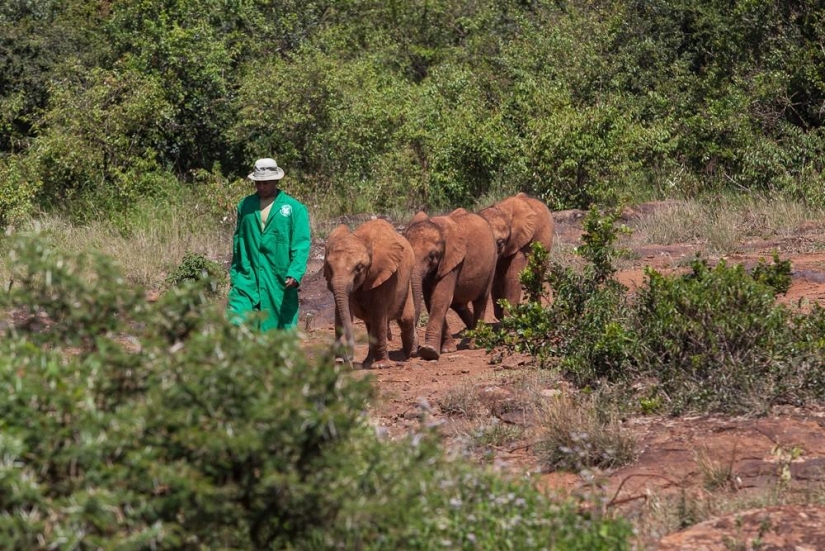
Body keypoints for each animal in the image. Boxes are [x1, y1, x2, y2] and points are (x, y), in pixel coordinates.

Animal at [324, 218, 419, 369]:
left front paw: (382, 365)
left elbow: (379, 313)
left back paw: (411, 355)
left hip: (407, 279)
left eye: (359, 268)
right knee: (369, 323)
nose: (348, 358)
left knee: (405, 319)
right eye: (329, 267)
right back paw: (367, 362)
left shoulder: (384, 275)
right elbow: (342, 311)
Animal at [404, 208, 497, 361]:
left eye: (432, 256)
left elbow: (440, 298)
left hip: (492, 263)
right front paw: (447, 350)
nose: (412, 353)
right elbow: (431, 300)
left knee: (480, 301)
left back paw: (476, 344)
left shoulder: (452, 261)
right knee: (458, 305)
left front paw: (429, 352)